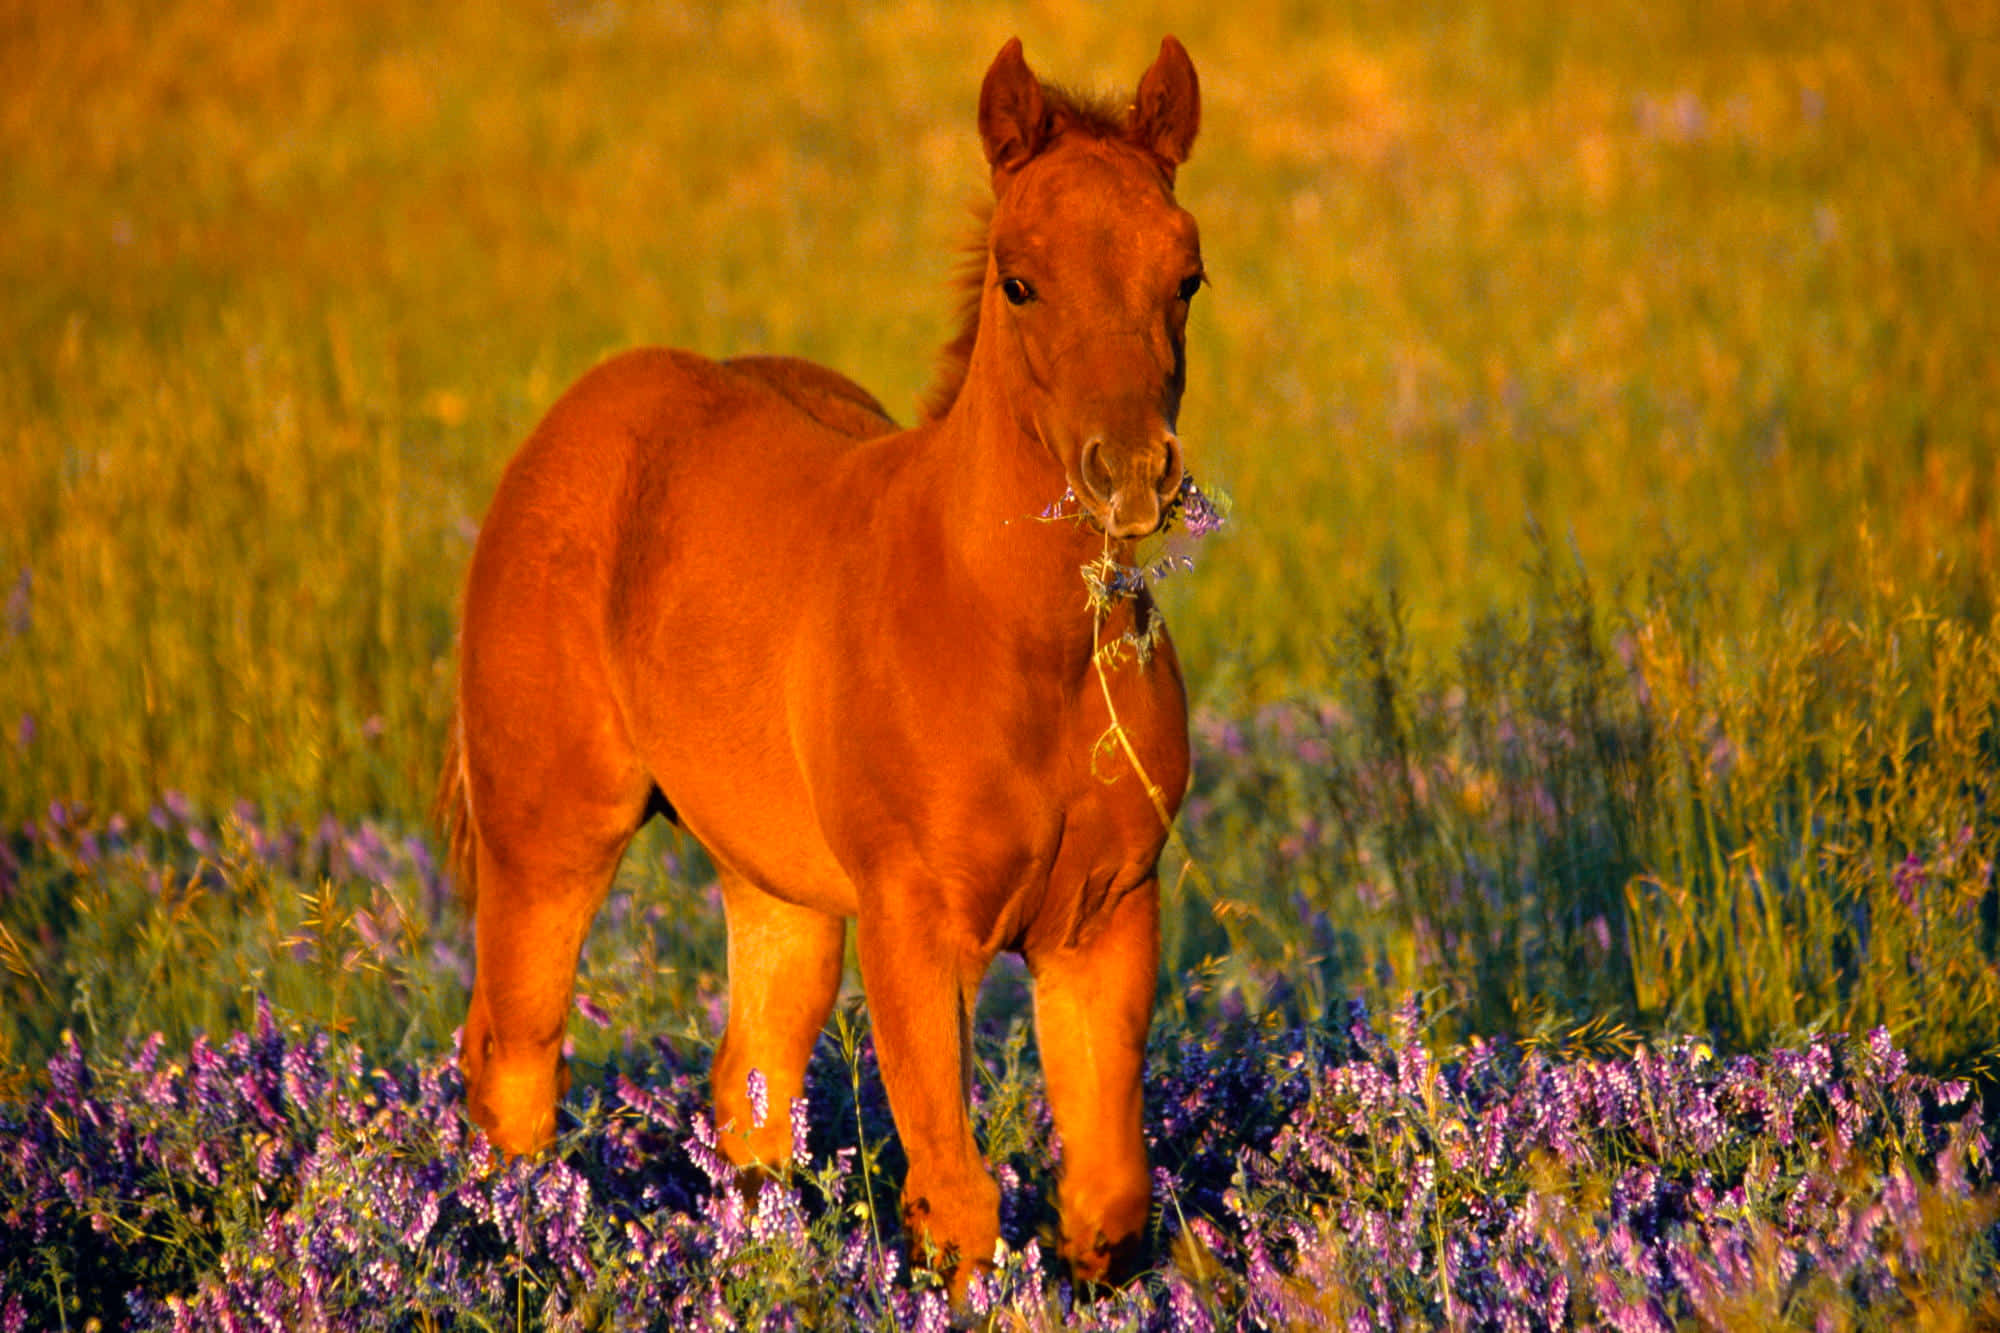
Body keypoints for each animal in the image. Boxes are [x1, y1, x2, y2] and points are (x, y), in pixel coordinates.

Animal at [437, 35, 1204, 1288]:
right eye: (1018, 280)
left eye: (1184, 276)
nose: (1131, 473)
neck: (1019, 644)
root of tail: (573, 420)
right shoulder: (914, 926)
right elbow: (956, 1202)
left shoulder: (1103, 917)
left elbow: (1103, 1200)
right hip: (548, 831)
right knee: (513, 1063)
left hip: (776, 885)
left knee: (748, 1095)